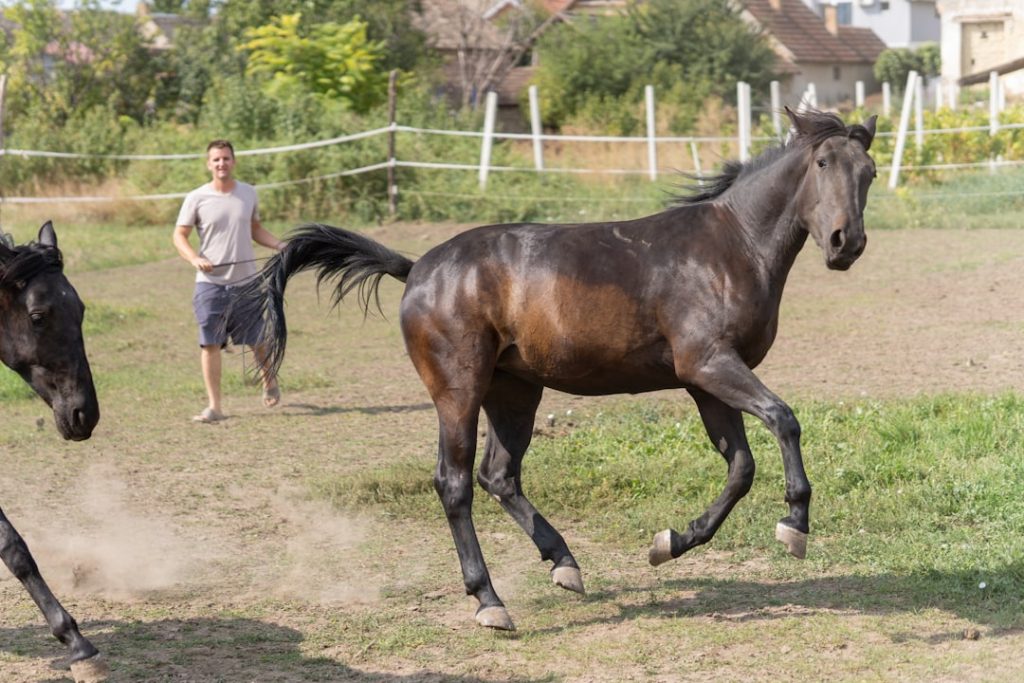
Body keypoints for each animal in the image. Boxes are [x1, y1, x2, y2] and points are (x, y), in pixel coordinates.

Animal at [234, 108, 877, 631]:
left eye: (869, 172)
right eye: (823, 162)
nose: (845, 244)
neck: (731, 247)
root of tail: (416, 269)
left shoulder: (706, 382)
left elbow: (740, 467)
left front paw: (669, 542)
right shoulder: (710, 364)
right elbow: (784, 419)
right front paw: (795, 524)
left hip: (514, 392)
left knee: (499, 475)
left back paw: (564, 565)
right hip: (459, 391)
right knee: (455, 482)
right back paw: (490, 602)